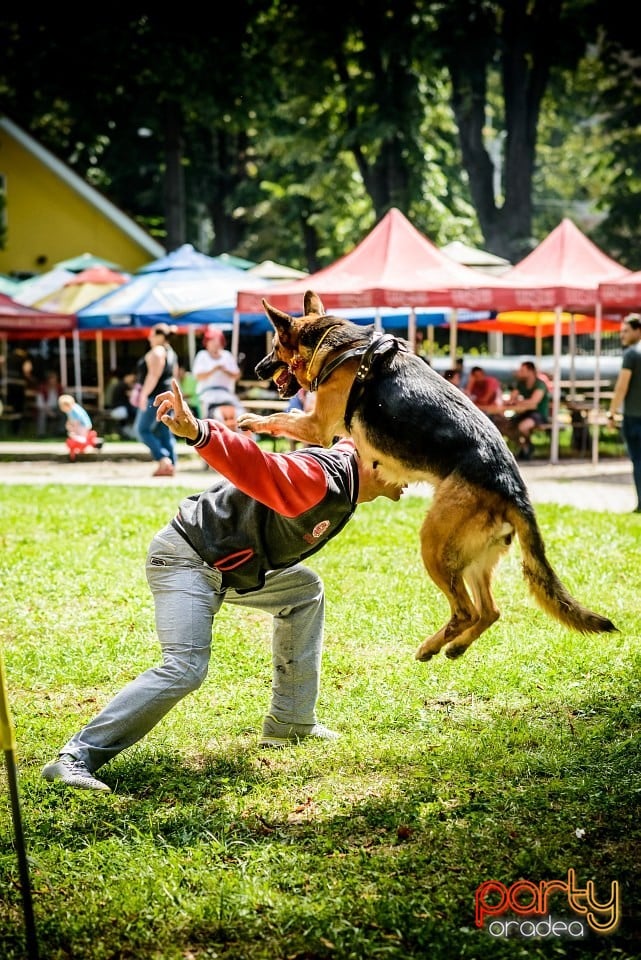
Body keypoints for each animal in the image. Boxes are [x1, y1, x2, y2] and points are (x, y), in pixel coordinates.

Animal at [238, 292, 616, 664]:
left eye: (274, 346)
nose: (255, 369)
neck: (336, 344)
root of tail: (514, 488)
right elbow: (287, 416)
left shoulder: (315, 426)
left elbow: (279, 417)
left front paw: (250, 421)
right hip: (472, 557)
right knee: (489, 611)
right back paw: (455, 647)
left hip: (433, 544)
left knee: (466, 611)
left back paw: (429, 647)